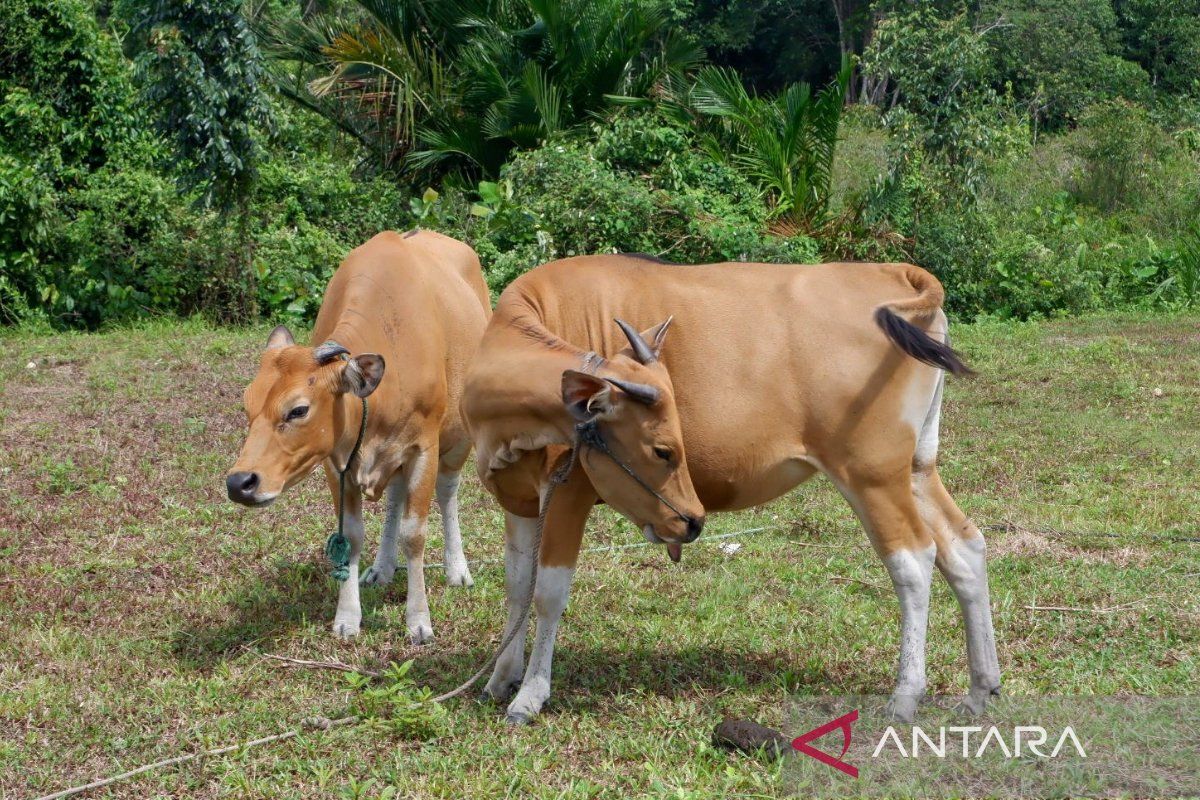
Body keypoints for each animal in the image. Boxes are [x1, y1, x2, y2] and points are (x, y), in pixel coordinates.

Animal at [463, 255, 998, 724]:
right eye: (664, 450)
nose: (693, 521)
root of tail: (896, 274)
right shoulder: (521, 502)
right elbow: (517, 586)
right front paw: (500, 678)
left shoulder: (568, 492)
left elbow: (547, 593)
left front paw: (530, 695)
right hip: (916, 469)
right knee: (964, 547)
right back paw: (981, 687)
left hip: (872, 475)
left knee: (915, 560)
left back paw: (906, 694)